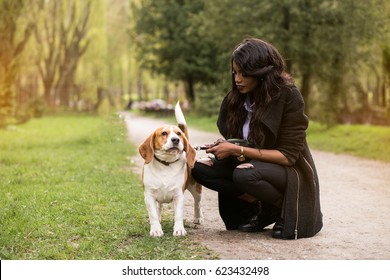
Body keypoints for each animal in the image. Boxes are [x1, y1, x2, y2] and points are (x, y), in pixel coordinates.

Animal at [138, 101, 204, 237]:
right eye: (164, 133)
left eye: (178, 133)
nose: (176, 140)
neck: (166, 164)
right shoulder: (149, 196)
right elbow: (153, 215)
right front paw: (156, 229)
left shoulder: (178, 195)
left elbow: (178, 215)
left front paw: (179, 229)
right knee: (158, 208)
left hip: (196, 188)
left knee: (197, 203)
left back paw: (198, 217)